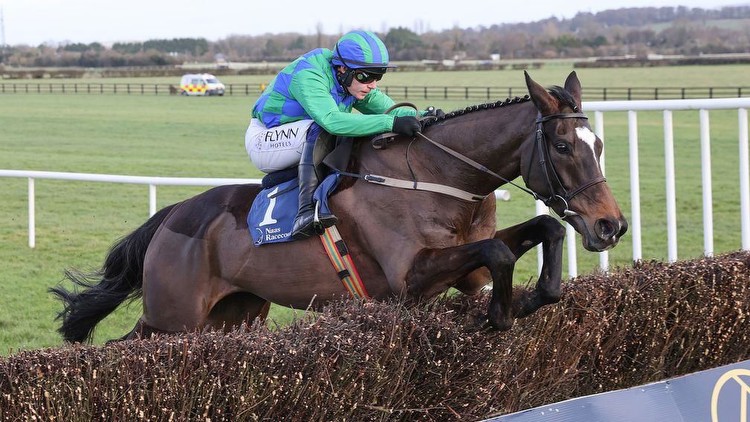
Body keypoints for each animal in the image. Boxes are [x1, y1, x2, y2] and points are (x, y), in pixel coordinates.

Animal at [50, 71, 632, 342]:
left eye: (599, 144)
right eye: (563, 146)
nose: (611, 225)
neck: (439, 175)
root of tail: (173, 214)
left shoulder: (463, 266)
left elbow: (539, 234)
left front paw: (534, 299)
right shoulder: (408, 277)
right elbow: (500, 252)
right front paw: (500, 314)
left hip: (234, 316)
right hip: (172, 318)